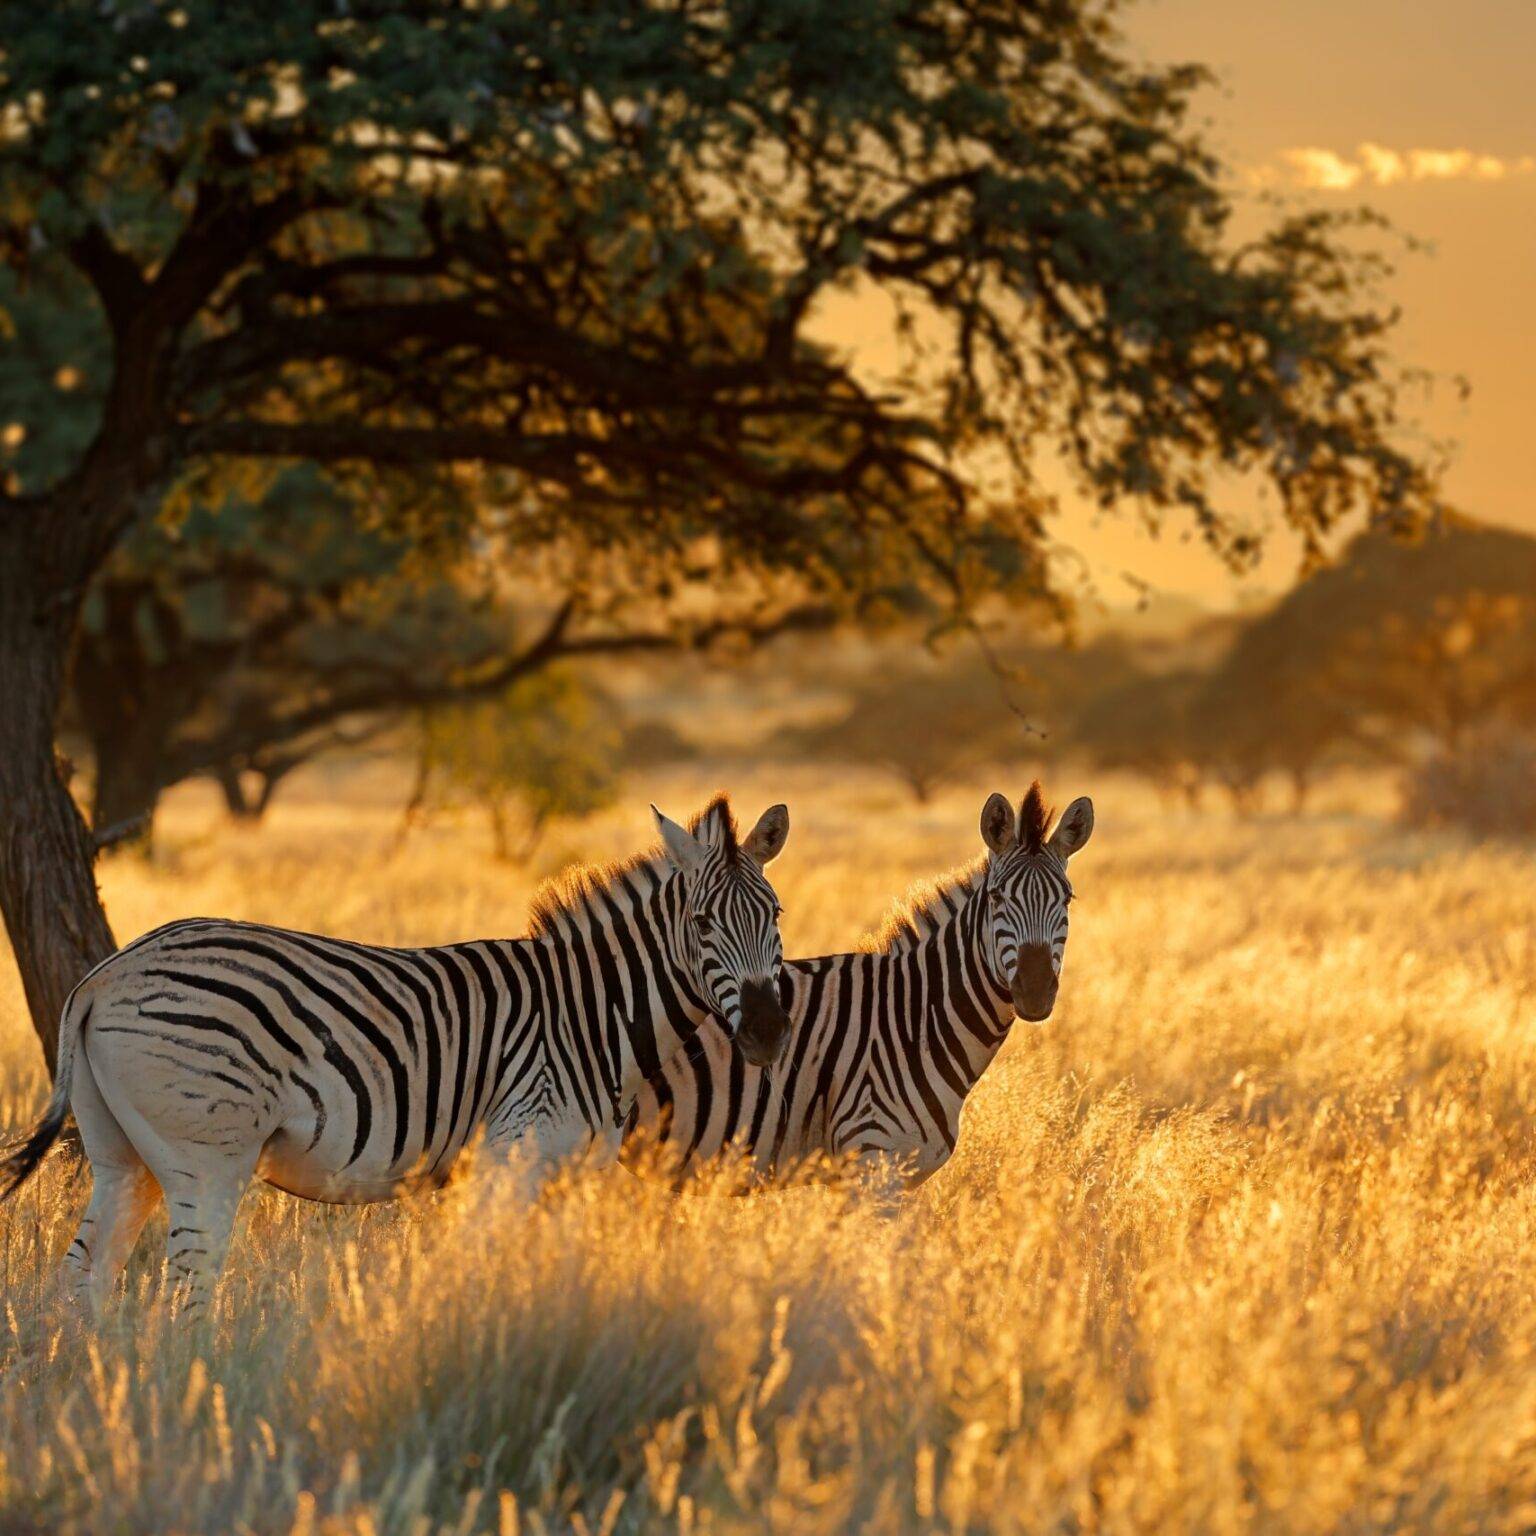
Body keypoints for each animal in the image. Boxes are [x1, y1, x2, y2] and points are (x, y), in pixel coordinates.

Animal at [1, 796, 791, 1314]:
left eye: (776, 915)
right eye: (702, 923)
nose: (766, 1033)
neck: (589, 1015)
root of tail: (105, 974)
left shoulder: (570, 1174)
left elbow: (553, 1274)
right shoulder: (513, 1151)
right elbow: (483, 1269)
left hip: (123, 1154)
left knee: (85, 1275)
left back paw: (100, 1393)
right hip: (208, 1153)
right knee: (188, 1281)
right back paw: (197, 1391)